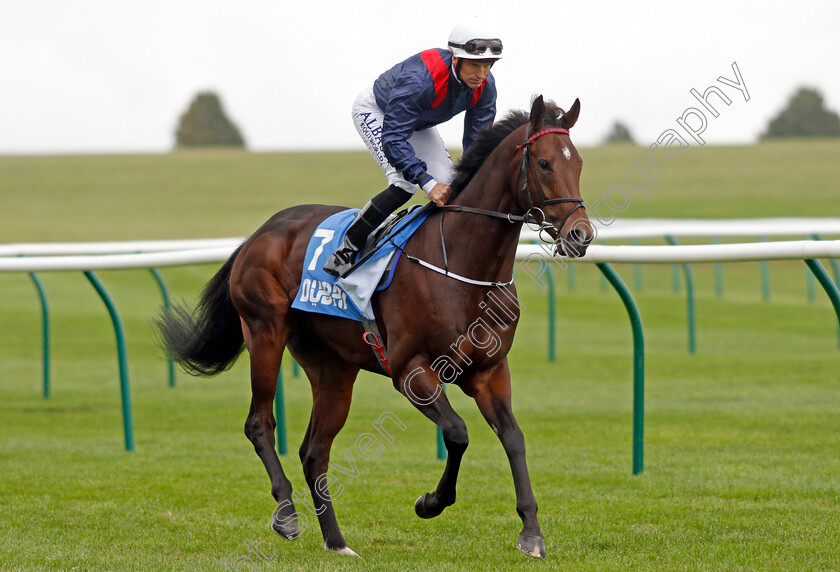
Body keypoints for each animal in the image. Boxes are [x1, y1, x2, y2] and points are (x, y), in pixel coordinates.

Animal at [156, 95, 592, 560]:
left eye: (579, 162)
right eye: (544, 163)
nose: (580, 234)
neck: (462, 264)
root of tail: (260, 232)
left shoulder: (490, 371)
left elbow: (513, 437)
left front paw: (531, 532)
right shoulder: (410, 370)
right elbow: (457, 433)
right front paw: (429, 502)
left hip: (332, 367)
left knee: (315, 452)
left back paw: (337, 542)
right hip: (265, 332)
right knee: (260, 424)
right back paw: (287, 515)